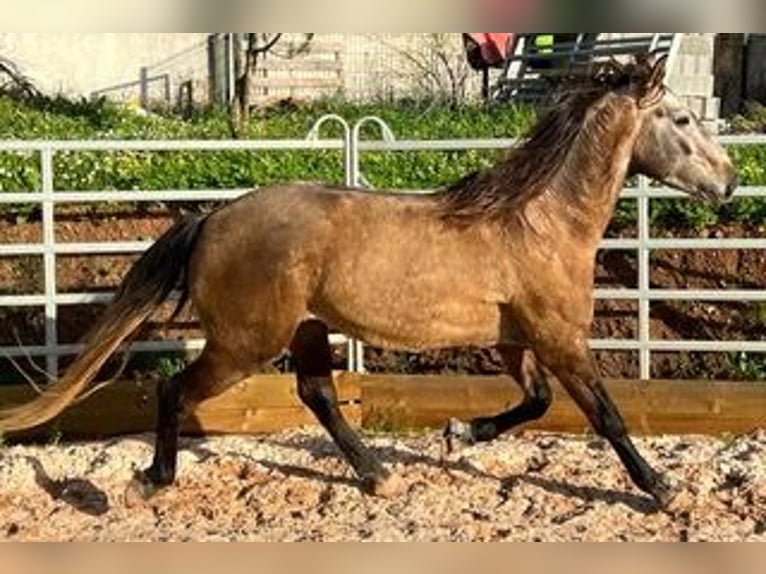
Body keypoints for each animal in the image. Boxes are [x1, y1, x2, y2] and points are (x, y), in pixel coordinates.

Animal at [0, 56, 740, 510]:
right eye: (681, 120)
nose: (730, 183)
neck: (539, 221)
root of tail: (214, 217)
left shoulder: (516, 339)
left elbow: (534, 403)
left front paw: (459, 433)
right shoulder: (559, 337)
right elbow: (603, 413)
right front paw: (660, 488)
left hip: (304, 329)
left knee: (318, 394)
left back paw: (377, 475)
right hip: (246, 342)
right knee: (174, 389)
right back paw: (150, 483)